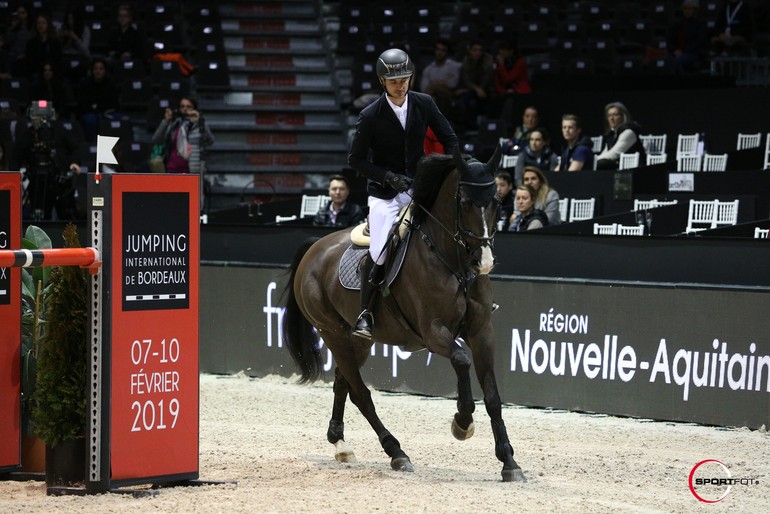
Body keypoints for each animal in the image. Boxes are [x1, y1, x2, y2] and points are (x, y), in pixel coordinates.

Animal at [282, 147, 528, 480]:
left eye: (498, 202)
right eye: (464, 202)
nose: (484, 261)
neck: (455, 263)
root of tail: (315, 246)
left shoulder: (482, 332)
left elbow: (493, 397)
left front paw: (509, 462)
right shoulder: (433, 332)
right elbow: (461, 360)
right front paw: (462, 422)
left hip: (357, 339)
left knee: (343, 384)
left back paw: (341, 444)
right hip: (332, 332)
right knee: (361, 394)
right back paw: (396, 452)